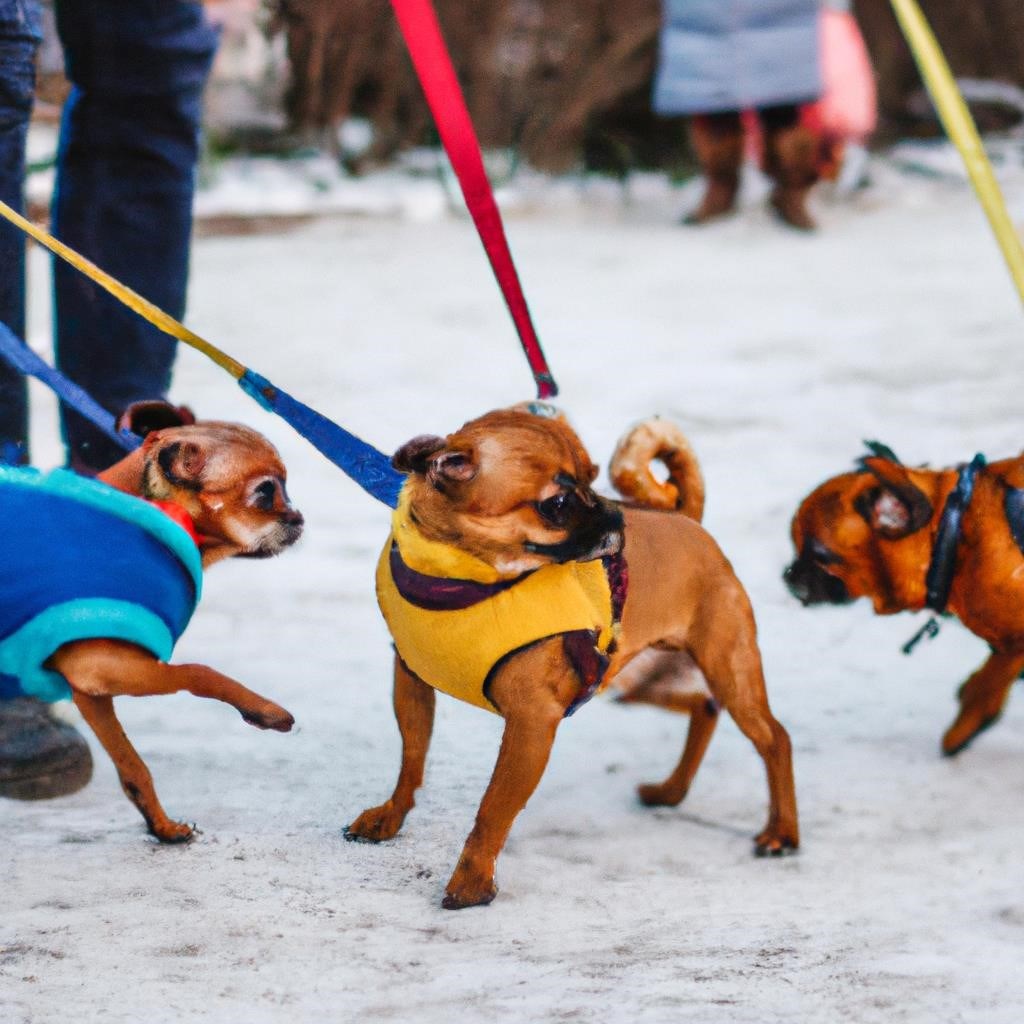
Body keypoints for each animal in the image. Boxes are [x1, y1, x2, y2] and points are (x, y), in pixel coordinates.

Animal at [32, 403, 301, 843]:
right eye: (265, 492)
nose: (298, 518)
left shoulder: (90, 687)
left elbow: (132, 765)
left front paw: (160, 825)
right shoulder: (102, 667)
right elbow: (199, 672)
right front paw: (264, 709)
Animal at [348, 407, 794, 913]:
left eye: (593, 479)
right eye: (558, 503)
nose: (617, 513)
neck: (465, 577)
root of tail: (686, 517)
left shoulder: (531, 723)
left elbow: (492, 809)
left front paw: (471, 882)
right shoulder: (411, 681)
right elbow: (412, 757)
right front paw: (390, 815)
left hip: (730, 671)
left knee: (774, 738)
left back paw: (781, 833)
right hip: (633, 682)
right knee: (703, 708)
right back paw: (670, 791)